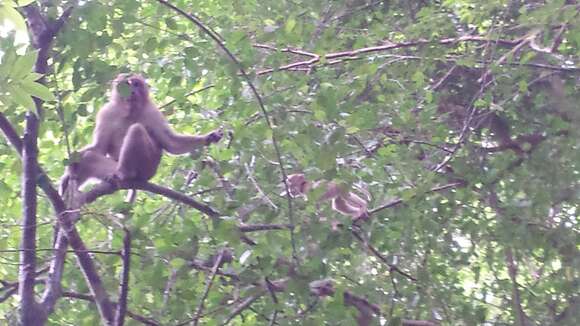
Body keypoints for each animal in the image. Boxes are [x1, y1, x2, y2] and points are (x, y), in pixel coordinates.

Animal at [60, 72, 224, 192]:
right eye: (126, 84)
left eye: (136, 84)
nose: (131, 91)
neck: (129, 111)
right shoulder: (106, 113)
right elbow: (99, 147)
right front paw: (68, 172)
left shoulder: (153, 112)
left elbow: (170, 143)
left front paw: (209, 137)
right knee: (90, 157)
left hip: (148, 167)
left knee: (136, 129)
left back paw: (125, 174)